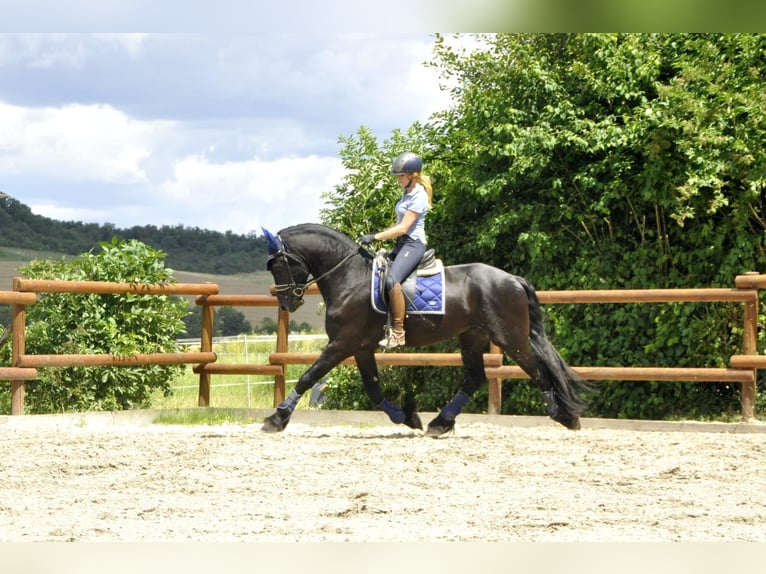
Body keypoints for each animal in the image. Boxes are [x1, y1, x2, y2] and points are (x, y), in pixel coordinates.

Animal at [260, 224, 592, 436]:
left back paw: (566, 416)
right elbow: (373, 388)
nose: (287, 302)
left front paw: (277, 418)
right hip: (473, 335)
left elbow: (308, 376)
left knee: (539, 371)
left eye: (278, 266)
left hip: (510, 338)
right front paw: (407, 417)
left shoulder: (342, 343)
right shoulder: (362, 347)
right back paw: (440, 423)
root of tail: (512, 279)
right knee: (475, 377)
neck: (349, 277)